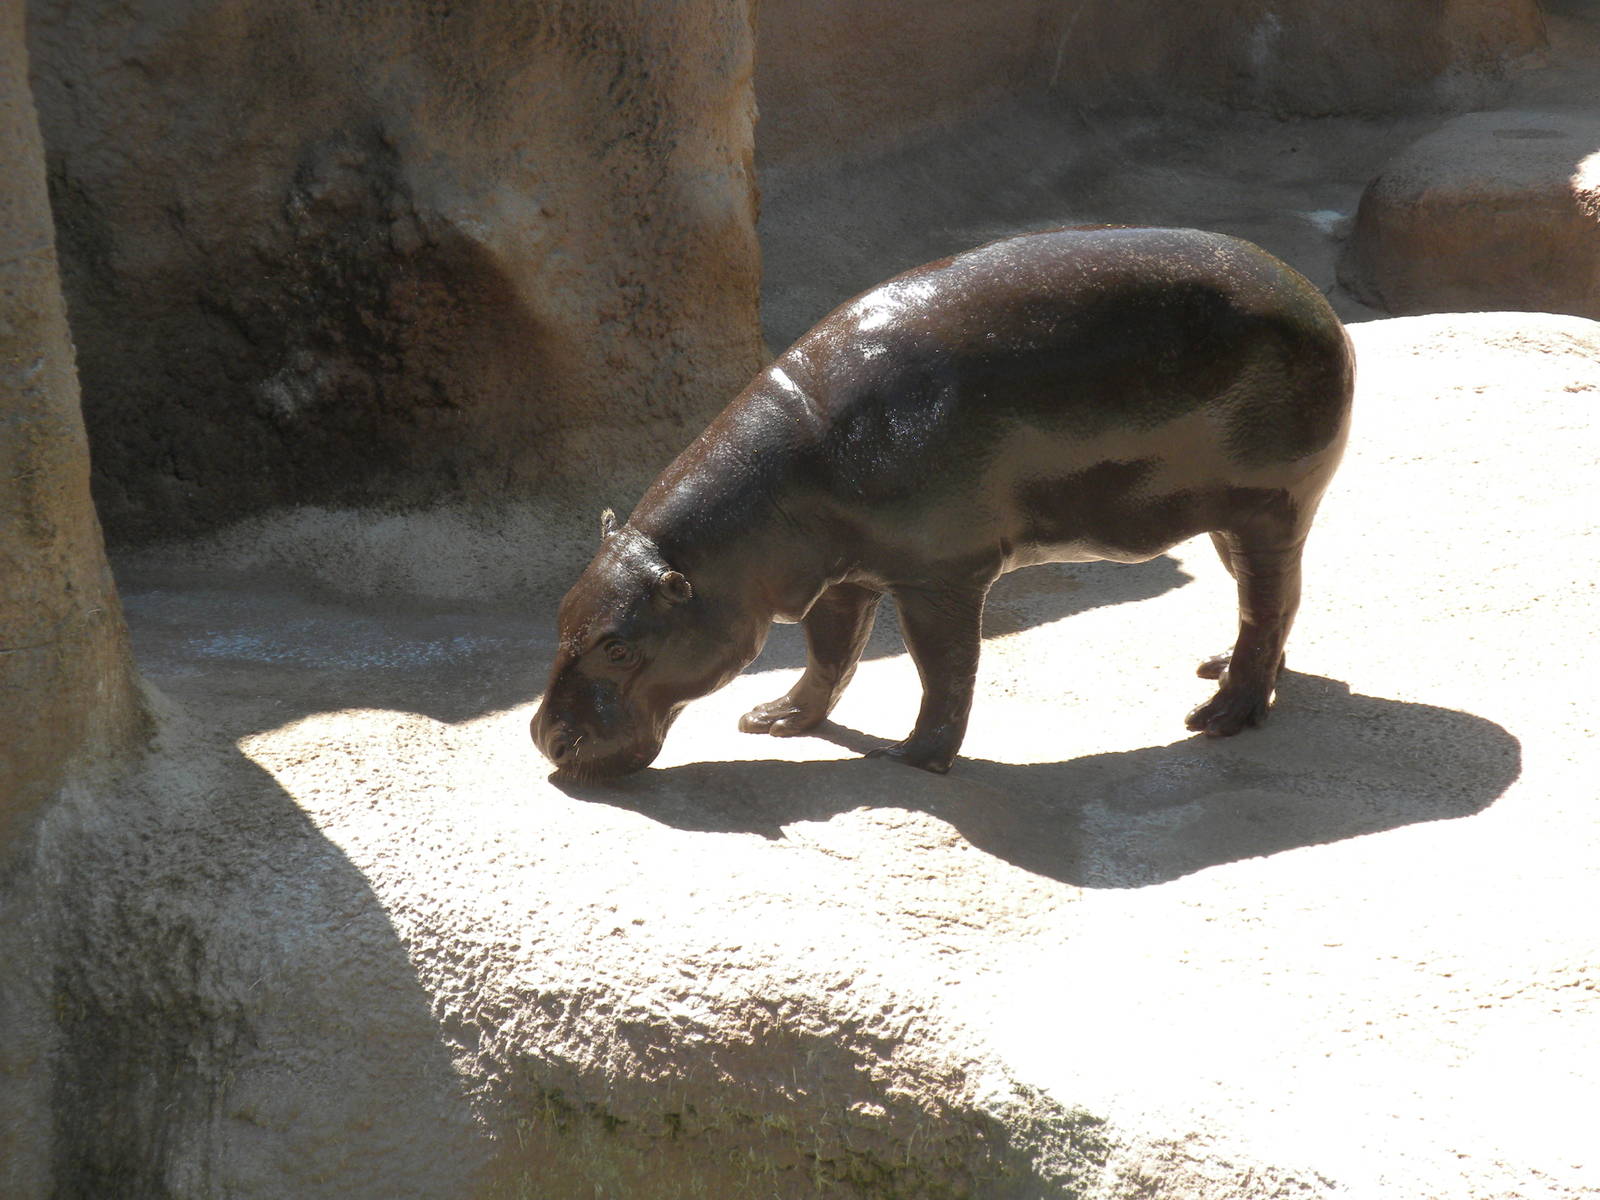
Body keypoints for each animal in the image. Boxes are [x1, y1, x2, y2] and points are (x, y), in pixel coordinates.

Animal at [533, 226, 1354, 777]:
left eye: (618, 645)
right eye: (562, 616)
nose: (543, 738)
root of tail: (1316, 299)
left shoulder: (941, 576)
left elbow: (944, 667)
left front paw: (912, 758)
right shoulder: (843, 572)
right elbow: (830, 655)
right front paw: (774, 720)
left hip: (1272, 505)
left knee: (1270, 600)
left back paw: (1218, 718)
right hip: (1228, 515)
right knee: (1273, 598)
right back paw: (1223, 672)